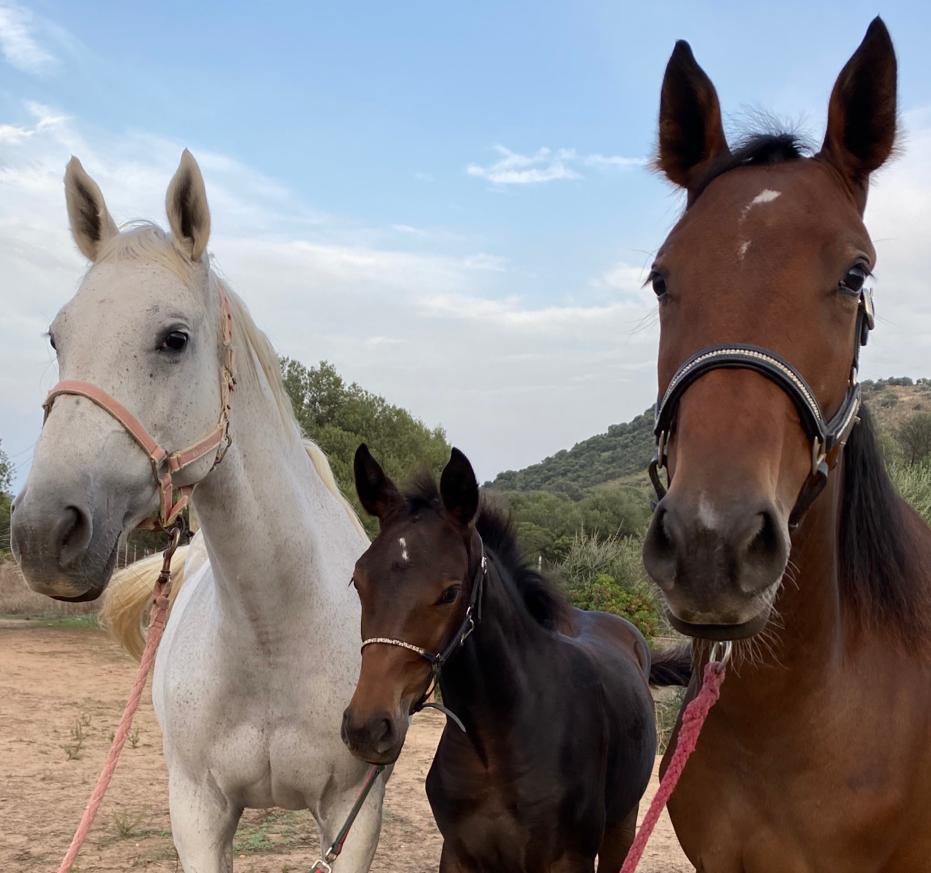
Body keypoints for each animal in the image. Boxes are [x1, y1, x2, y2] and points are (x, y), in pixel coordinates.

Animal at [10, 152, 385, 872]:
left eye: (174, 338)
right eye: (56, 338)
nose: (43, 534)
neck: (274, 634)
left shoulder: (351, 816)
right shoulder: (197, 811)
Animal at [341, 444, 691, 872]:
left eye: (450, 592)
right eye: (359, 581)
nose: (367, 729)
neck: (495, 748)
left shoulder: (568, 859)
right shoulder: (457, 853)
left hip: (623, 825)